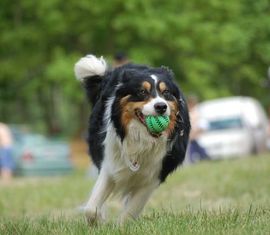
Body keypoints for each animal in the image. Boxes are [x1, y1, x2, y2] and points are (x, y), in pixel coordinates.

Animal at [74, 54, 190, 224]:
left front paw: (121, 225)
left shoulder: (155, 174)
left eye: (166, 92)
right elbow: (91, 208)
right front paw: (98, 221)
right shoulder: (110, 163)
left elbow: (131, 210)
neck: (141, 138)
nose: (161, 106)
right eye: (142, 91)